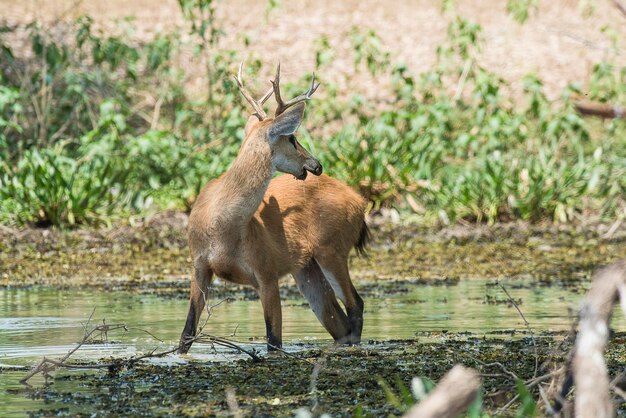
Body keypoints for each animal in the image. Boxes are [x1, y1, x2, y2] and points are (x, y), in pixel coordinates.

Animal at [178, 63, 368, 354]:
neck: (221, 227)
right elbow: (186, 335)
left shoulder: (266, 270)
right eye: (292, 138)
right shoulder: (198, 265)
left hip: (333, 248)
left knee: (355, 305)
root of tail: (360, 201)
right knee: (339, 321)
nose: (317, 164)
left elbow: (274, 341)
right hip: (307, 267)